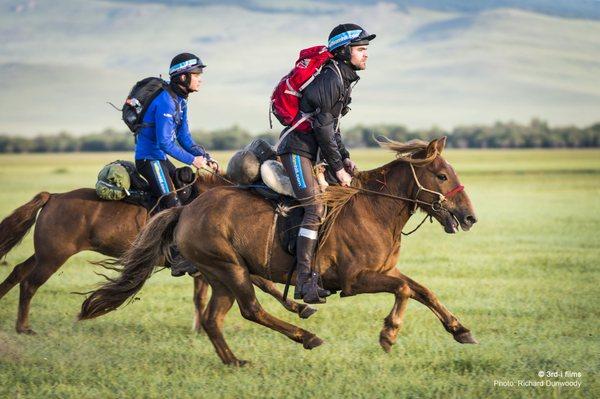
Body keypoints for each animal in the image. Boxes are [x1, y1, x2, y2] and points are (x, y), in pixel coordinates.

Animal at [1, 172, 314, 334]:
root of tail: (53, 197)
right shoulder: (219, 264)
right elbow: (260, 285)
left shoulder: (224, 264)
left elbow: (266, 285)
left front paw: (300, 307)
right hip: (53, 258)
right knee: (29, 284)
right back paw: (24, 327)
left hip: (44, 255)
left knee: (17, 272)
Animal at [79, 138, 480, 368]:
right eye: (441, 176)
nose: (469, 217)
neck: (374, 208)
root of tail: (185, 210)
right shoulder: (356, 280)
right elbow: (407, 290)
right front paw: (389, 334)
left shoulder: (384, 272)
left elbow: (424, 290)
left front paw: (460, 329)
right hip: (230, 270)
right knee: (252, 310)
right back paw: (306, 336)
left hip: (220, 275)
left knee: (213, 320)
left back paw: (235, 362)